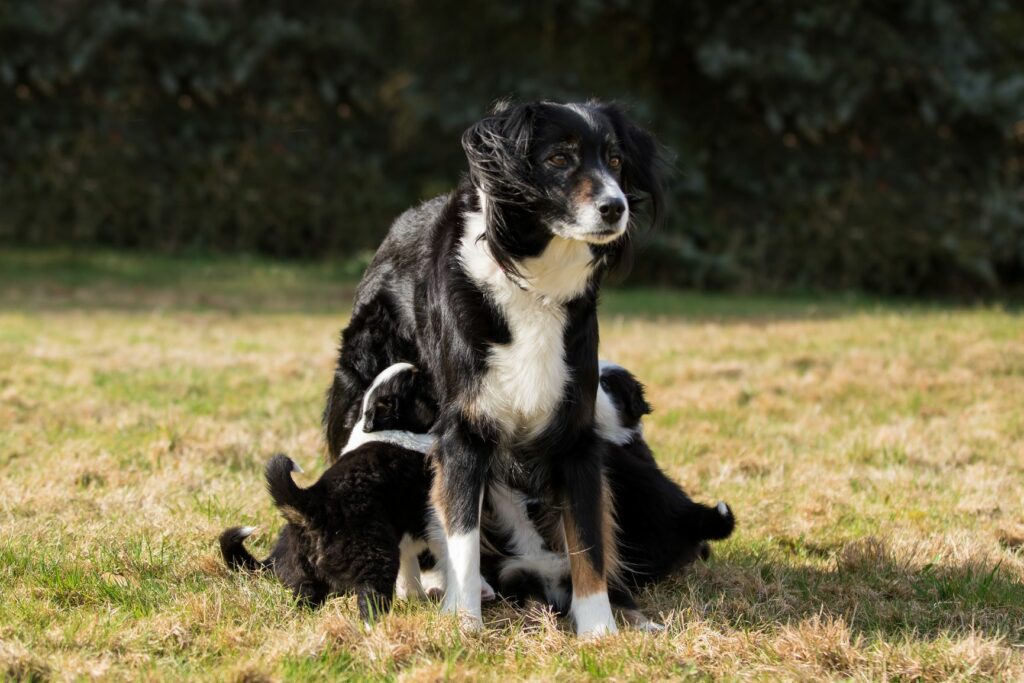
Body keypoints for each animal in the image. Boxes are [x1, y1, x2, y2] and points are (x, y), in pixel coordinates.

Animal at [220, 366, 440, 622]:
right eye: (419, 383)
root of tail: (310, 504)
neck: (388, 427)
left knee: (304, 600)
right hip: (375, 555)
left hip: (306, 576)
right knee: (371, 598)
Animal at [323, 100, 667, 634]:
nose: (616, 207)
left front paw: (600, 629)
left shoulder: (575, 433)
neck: (534, 280)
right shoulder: (465, 429)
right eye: (559, 158)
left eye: (614, 159)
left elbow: (588, 539)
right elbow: (461, 532)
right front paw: (465, 623)